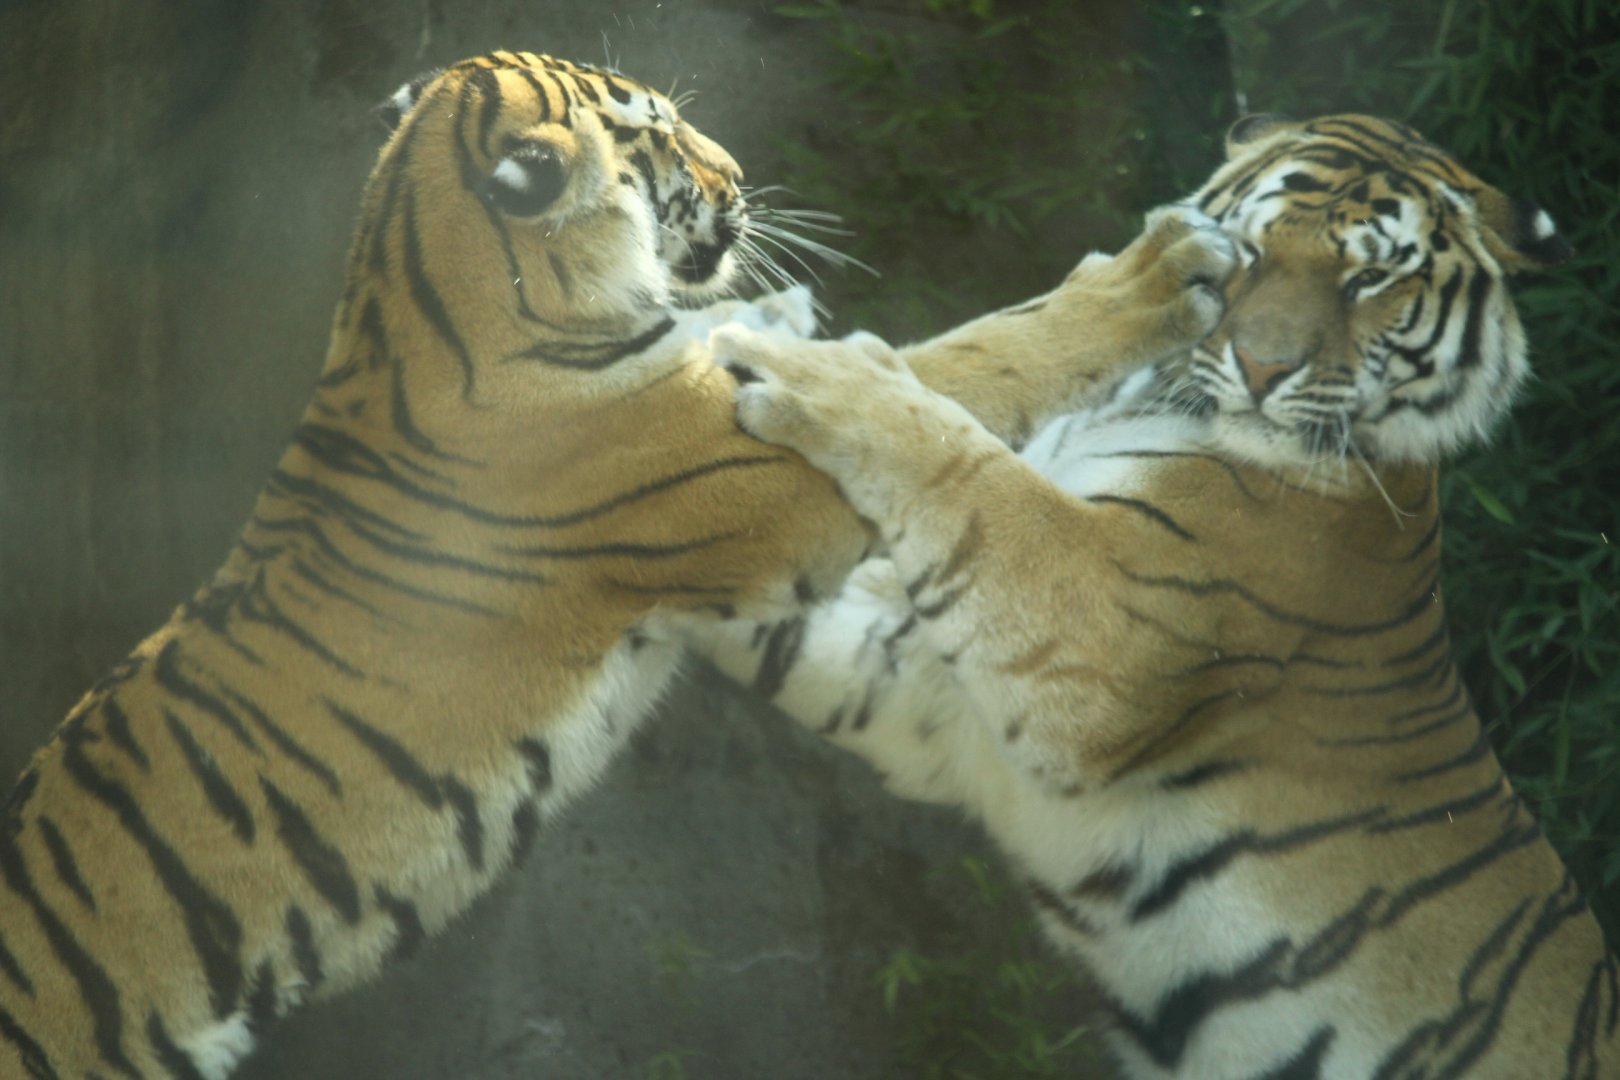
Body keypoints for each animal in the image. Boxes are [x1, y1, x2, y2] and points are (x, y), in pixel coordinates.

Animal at [0, 51, 1233, 1079]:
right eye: (654, 134)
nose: (739, 175)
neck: (426, 283)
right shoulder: (756, 476)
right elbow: (965, 363)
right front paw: (1157, 275)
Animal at [685, 113, 1617, 1077]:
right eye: (1253, 250)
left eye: (1369, 281)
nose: (1262, 367)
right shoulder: (925, 679)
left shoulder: (1101, 643)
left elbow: (963, 466)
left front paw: (818, 370)